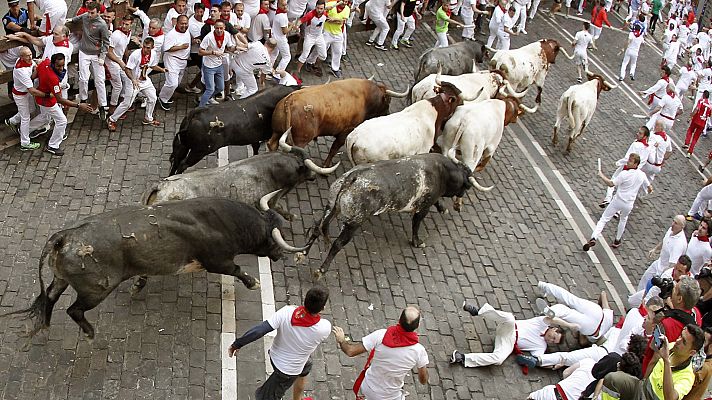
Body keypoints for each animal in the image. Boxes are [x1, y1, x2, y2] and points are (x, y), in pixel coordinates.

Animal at [2, 198, 308, 340]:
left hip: (61, 278)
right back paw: (88, 333)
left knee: (50, 297)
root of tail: (64, 236)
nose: (281, 254)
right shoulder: (216, 260)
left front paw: (139, 285)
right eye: (274, 238)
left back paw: (46, 324)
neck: (223, 220)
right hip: (97, 289)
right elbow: (235, 269)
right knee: (73, 309)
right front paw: (253, 282)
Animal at [168, 84, 298, 175]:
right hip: (199, 151)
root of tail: (194, 114)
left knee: (176, 160)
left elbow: (255, 148)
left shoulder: (254, 137)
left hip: (182, 145)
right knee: (183, 164)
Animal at [266, 79, 406, 166]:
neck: (365, 97)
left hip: (277, 131)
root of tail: (290, 100)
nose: (388, 114)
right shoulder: (345, 132)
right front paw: (326, 165)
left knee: (272, 144)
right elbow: (334, 149)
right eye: (388, 101)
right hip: (300, 140)